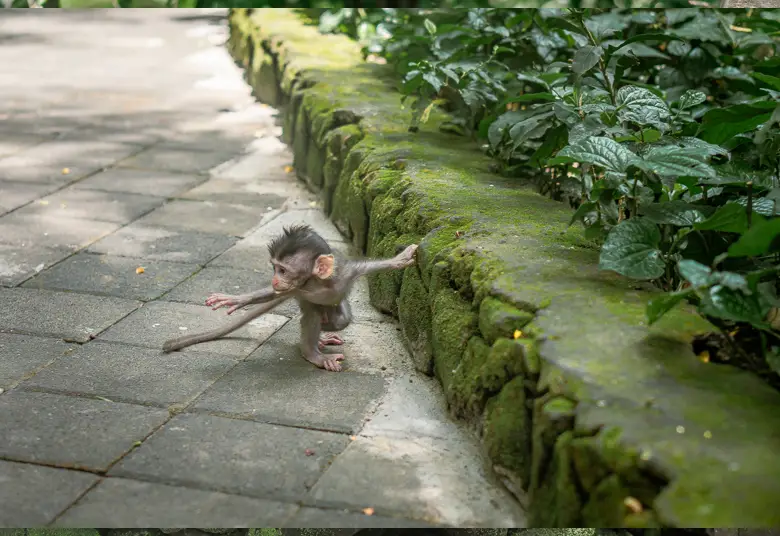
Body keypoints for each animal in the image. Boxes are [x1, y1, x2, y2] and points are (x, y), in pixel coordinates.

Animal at [162, 224, 419, 372]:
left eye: (283, 270)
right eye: (274, 268)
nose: (275, 279)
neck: (318, 283)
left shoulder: (345, 273)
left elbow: (370, 266)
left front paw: (401, 259)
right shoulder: (298, 290)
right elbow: (269, 295)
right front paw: (238, 299)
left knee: (340, 319)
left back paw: (324, 335)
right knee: (314, 315)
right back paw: (314, 352)